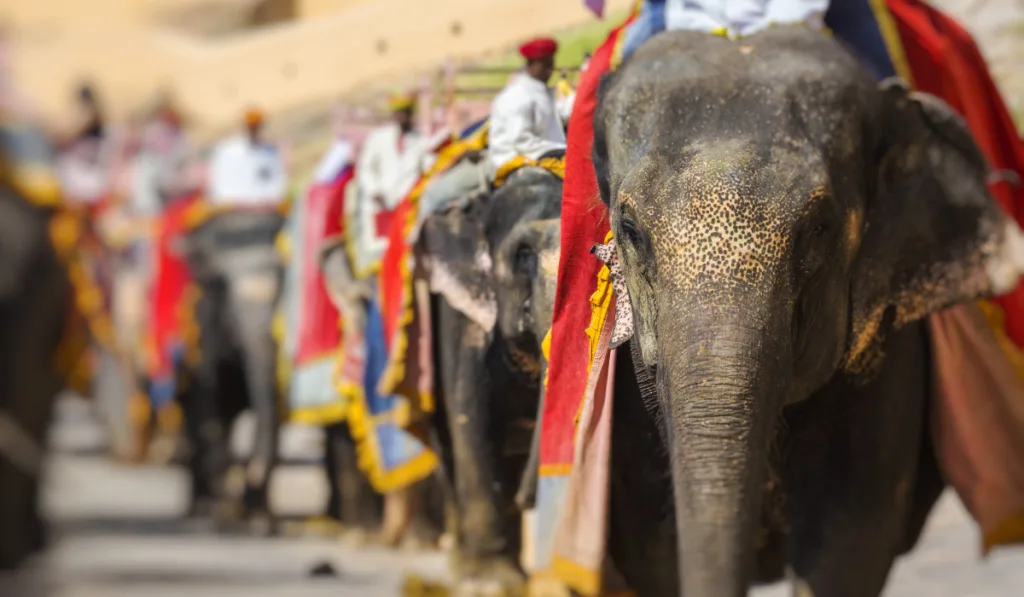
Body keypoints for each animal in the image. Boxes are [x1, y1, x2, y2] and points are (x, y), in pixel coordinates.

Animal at [178, 208, 286, 532]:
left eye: (282, 285)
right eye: (221, 285)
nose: (252, 470)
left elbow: (272, 413)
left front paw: (261, 524)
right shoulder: (205, 337)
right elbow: (210, 417)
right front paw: (225, 514)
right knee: (197, 424)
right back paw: (200, 510)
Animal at [415, 164, 561, 593]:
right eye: (522, 254)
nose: (526, 499)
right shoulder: (462, 317)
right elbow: (474, 422)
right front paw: (492, 582)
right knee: (450, 446)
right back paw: (464, 567)